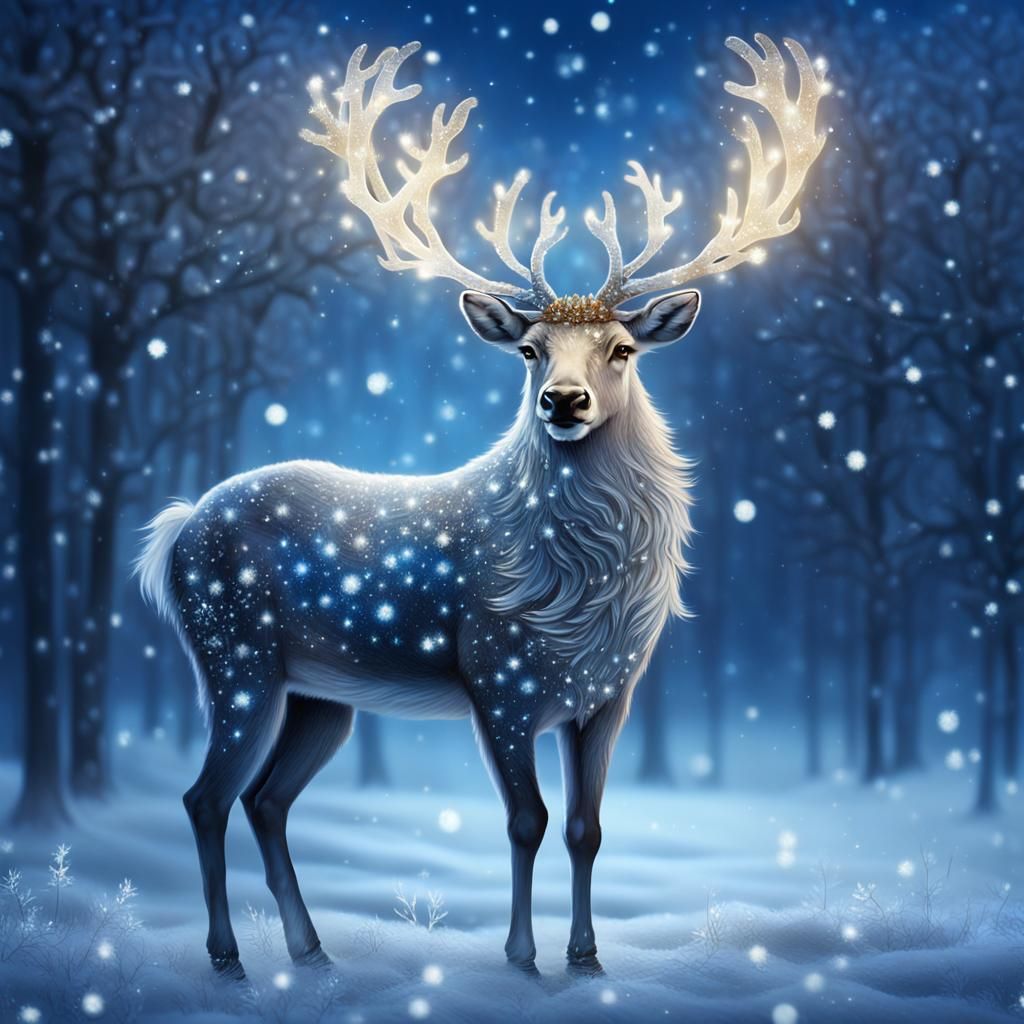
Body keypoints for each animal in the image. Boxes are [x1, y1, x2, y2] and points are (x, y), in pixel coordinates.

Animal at [135, 35, 827, 981]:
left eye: (621, 348)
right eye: (531, 349)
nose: (565, 401)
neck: (579, 592)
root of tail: (174, 530)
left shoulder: (613, 690)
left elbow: (587, 828)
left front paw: (587, 957)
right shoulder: (495, 674)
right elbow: (526, 821)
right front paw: (521, 957)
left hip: (320, 693)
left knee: (266, 800)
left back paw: (312, 952)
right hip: (233, 653)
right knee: (205, 795)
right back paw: (229, 958)